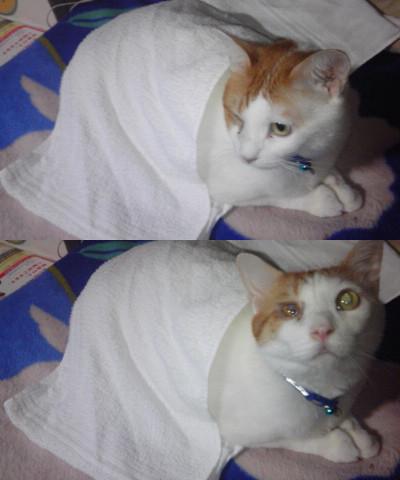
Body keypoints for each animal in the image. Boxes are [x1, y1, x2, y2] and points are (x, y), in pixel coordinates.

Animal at [197, 37, 363, 225]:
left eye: (280, 128)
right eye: (237, 118)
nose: (246, 158)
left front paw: (342, 188)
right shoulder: (223, 186)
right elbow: (274, 197)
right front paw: (321, 200)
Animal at [208, 240, 385, 464]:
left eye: (347, 300)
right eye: (290, 310)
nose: (322, 329)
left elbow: (343, 416)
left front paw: (356, 431)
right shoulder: (234, 432)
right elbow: (291, 439)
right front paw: (337, 443)